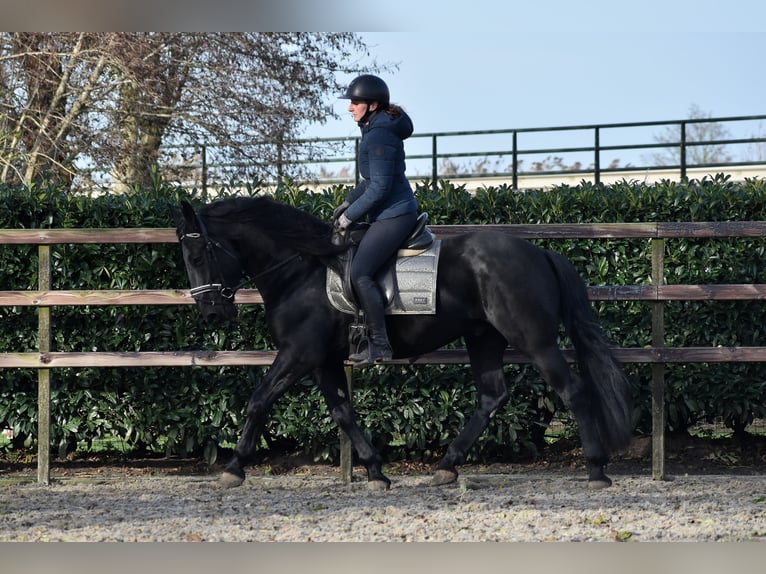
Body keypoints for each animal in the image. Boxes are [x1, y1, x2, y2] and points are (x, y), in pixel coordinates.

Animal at [171, 198, 632, 490]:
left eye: (198, 255)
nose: (211, 314)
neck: (301, 270)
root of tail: (539, 253)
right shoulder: (322, 361)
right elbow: (343, 412)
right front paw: (376, 471)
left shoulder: (299, 354)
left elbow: (259, 400)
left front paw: (234, 467)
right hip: (483, 337)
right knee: (492, 395)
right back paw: (446, 467)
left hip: (533, 338)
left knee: (572, 389)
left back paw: (596, 470)